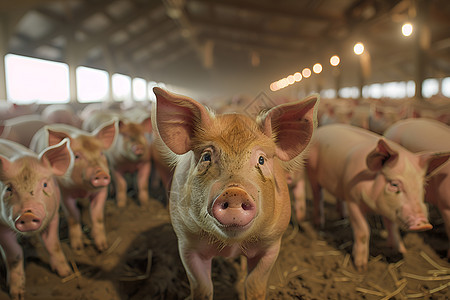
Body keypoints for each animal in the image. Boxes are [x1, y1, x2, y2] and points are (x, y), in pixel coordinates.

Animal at [0, 138, 72, 300]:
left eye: (44, 184)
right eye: (9, 189)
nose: (27, 214)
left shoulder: (54, 216)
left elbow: (53, 244)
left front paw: (66, 272)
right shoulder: (1, 225)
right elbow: (14, 254)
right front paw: (17, 294)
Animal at [29, 122, 116, 251]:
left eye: (101, 153)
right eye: (76, 156)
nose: (100, 173)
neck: (83, 190)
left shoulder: (102, 191)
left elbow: (97, 215)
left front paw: (103, 247)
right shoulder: (64, 193)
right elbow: (73, 216)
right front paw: (77, 248)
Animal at [152, 88, 320, 298]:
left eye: (261, 159)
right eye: (206, 156)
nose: (234, 193)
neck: (231, 245)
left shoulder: (272, 244)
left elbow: (255, 284)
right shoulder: (186, 242)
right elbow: (202, 287)